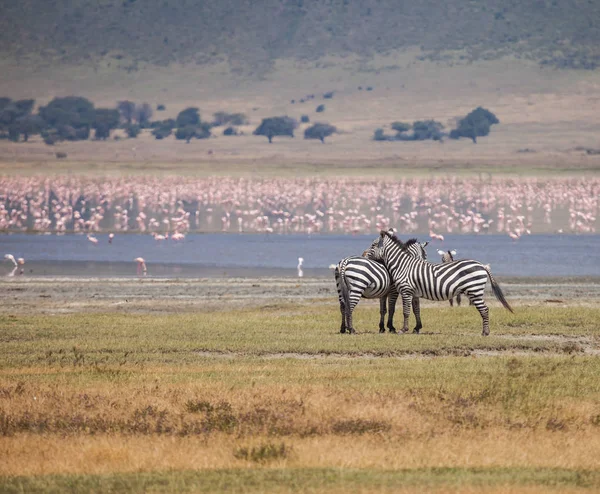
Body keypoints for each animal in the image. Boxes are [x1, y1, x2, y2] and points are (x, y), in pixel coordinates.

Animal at [366, 233, 510, 336]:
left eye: (373, 245)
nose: (364, 255)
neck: (403, 265)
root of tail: (481, 265)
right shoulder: (413, 292)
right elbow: (415, 310)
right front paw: (415, 328)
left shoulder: (406, 291)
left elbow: (406, 312)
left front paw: (403, 330)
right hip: (474, 291)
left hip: (475, 291)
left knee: (484, 309)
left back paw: (485, 332)